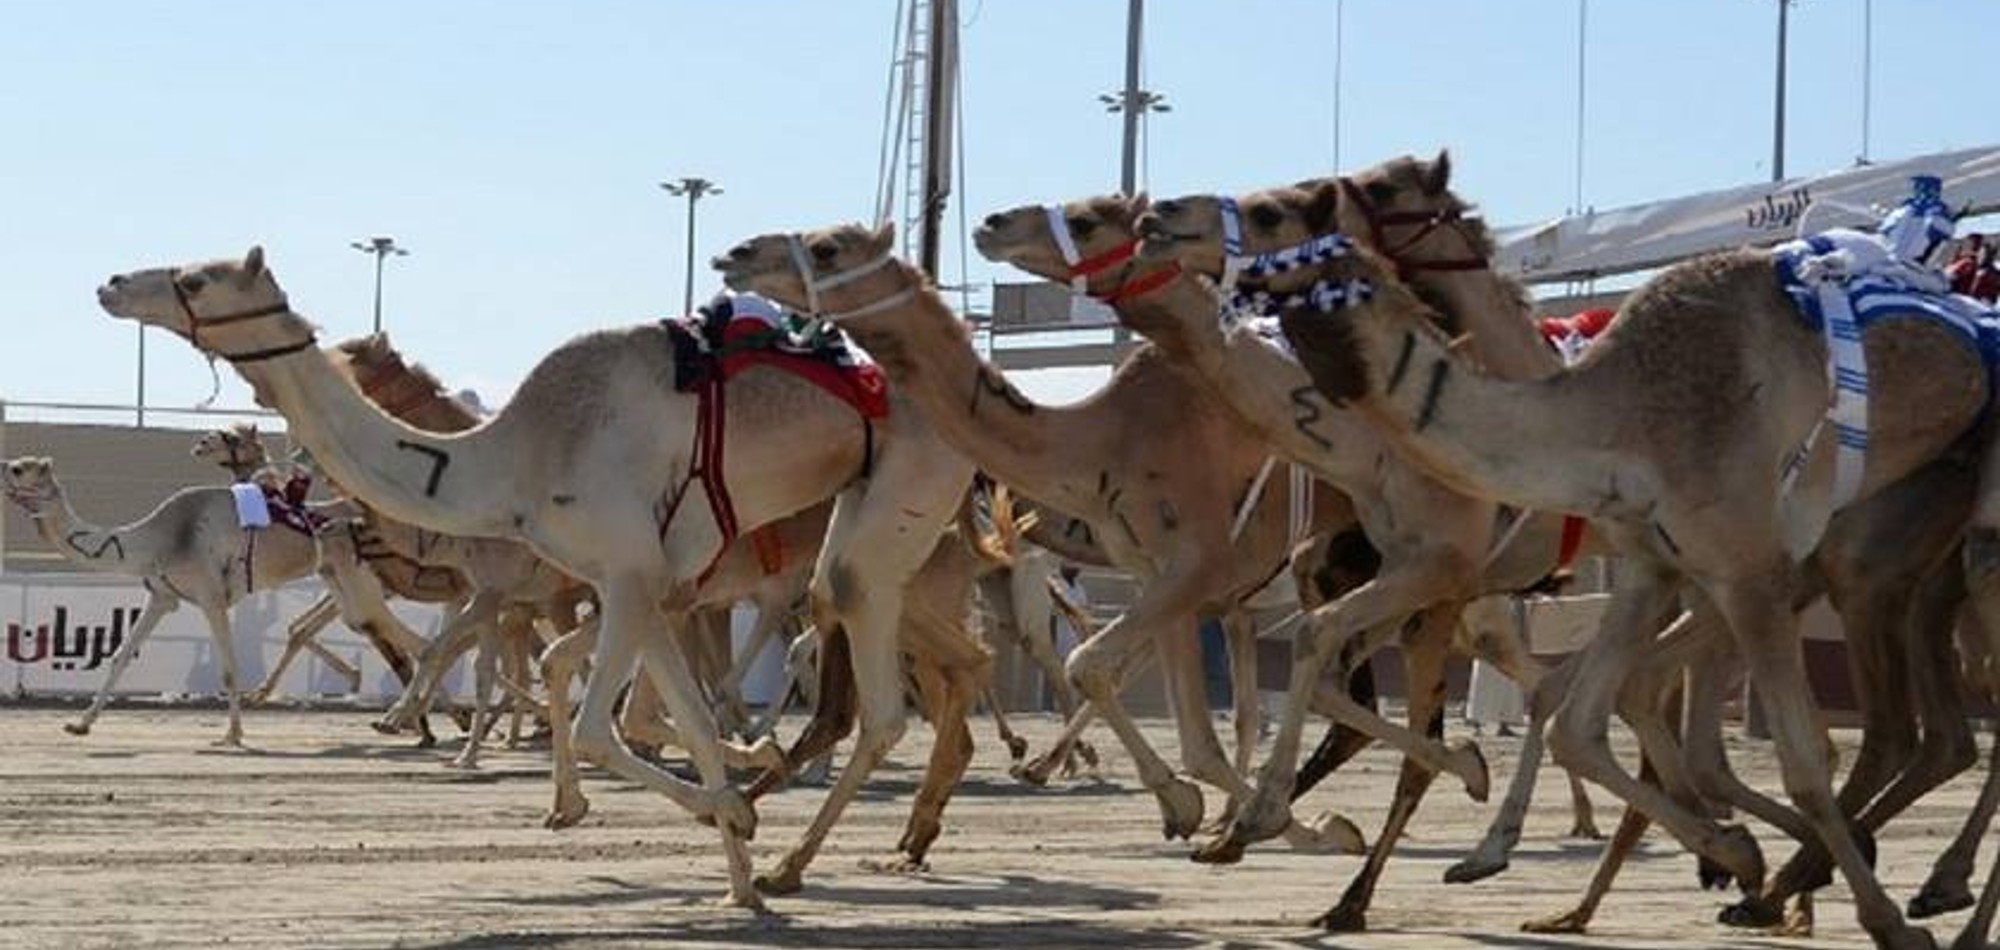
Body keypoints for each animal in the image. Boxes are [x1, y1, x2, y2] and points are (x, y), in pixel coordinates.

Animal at [2, 458, 324, 748]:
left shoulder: (211, 596)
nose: (3, 467)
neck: (163, 539)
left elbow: (229, 667)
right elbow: (120, 655)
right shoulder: (161, 597)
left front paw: (233, 735)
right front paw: (80, 724)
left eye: (19, 468)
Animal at [101, 249, 976, 912]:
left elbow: (600, 724)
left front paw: (730, 812)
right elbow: (677, 716)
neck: (513, 460)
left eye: (198, 278)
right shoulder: (645, 583)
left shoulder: (625, 574)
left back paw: (813, 850)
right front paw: (737, 875)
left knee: (882, 688)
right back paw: (826, 841)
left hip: (904, 497)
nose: (112, 283)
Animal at [720, 223, 1376, 856]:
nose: (736, 254)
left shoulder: (1202, 575)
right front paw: (1204, 810)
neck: (1106, 438)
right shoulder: (1188, 587)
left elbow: (1107, 671)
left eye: (827, 248)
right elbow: (1186, 722)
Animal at [1248, 193, 1984, 950]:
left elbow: (1799, 758)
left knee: (1895, 730)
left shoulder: (1738, 568)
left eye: (1280, 219)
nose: (1237, 278)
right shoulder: (1645, 566)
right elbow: (1572, 717)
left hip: (1872, 563)